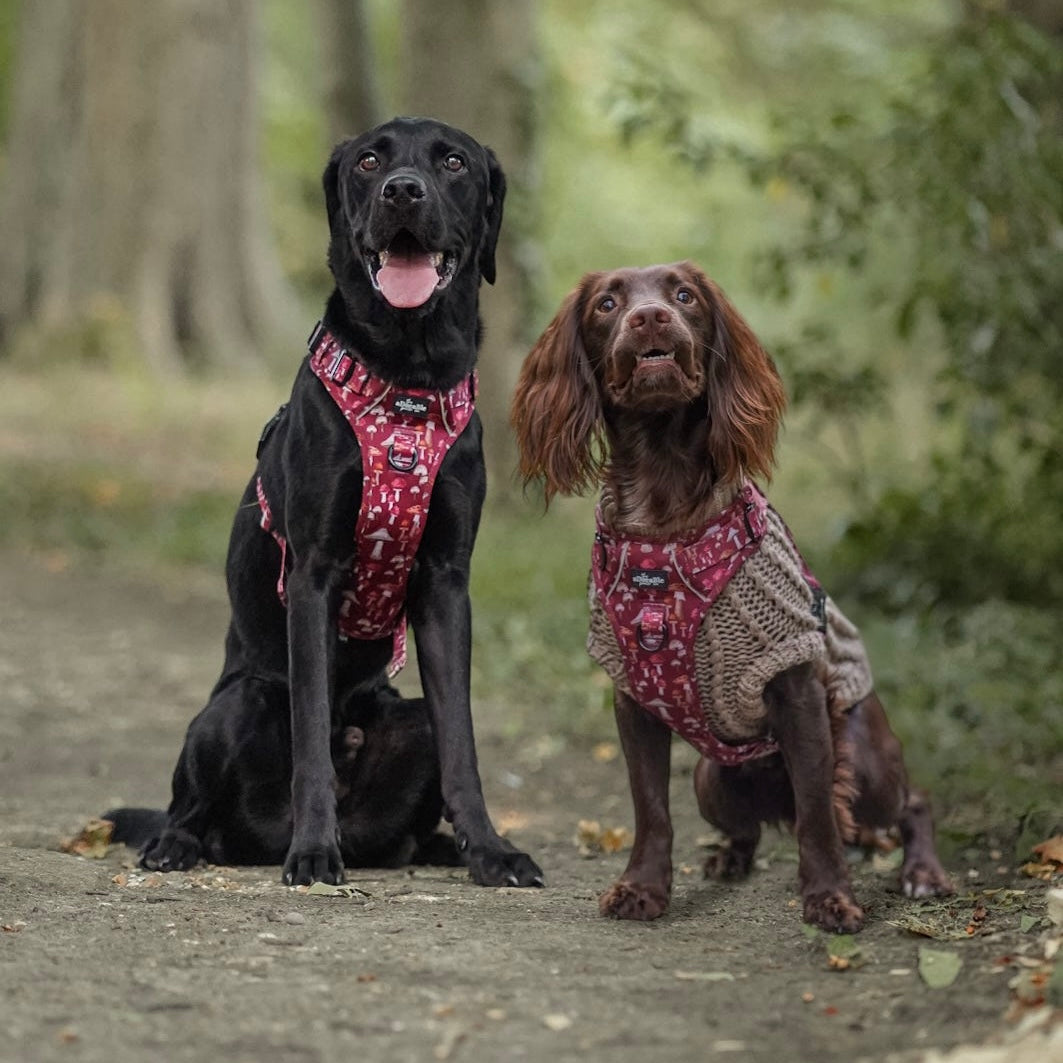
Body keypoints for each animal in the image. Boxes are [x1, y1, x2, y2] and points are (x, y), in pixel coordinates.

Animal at [103, 118, 544, 888]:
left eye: (453, 162)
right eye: (369, 161)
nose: (402, 191)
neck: (407, 380)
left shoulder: (445, 580)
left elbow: (463, 742)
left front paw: (491, 850)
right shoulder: (312, 573)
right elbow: (310, 730)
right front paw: (313, 849)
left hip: (407, 720)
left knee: (422, 776)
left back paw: (432, 846)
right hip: (229, 710)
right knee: (188, 806)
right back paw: (180, 845)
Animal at [510, 261, 952, 926]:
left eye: (684, 295)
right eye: (607, 304)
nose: (650, 317)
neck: (664, 516)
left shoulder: (797, 690)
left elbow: (819, 816)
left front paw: (830, 897)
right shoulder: (633, 698)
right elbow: (650, 809)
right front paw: (642, 887)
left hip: (866, 766)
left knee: (907, 803)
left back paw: (922, 873)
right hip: (711, 780)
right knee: (748, 827)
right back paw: (728, 858)